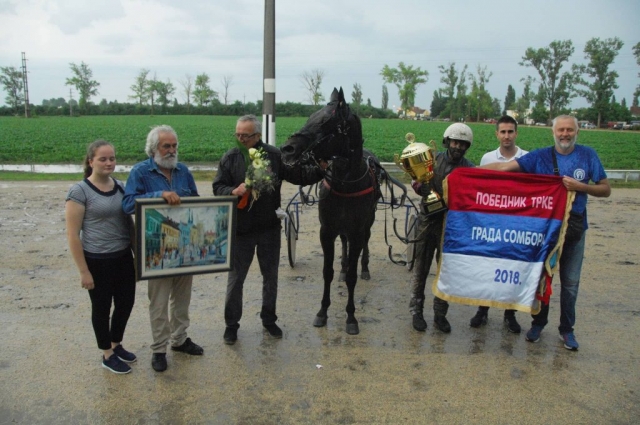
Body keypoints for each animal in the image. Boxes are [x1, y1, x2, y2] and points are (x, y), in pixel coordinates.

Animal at [280, 87, 380, 334]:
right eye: (310, 117)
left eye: (326, 123)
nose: (287, 149)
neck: (345, 183)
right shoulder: (326, 230)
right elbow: (327, 272)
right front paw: (322, 312)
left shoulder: (357, 230)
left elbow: (353, 275)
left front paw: (351, 317)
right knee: (343, 244)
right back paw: (343, 267)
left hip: (369, 222)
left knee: (365, 241)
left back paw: (364, 268)